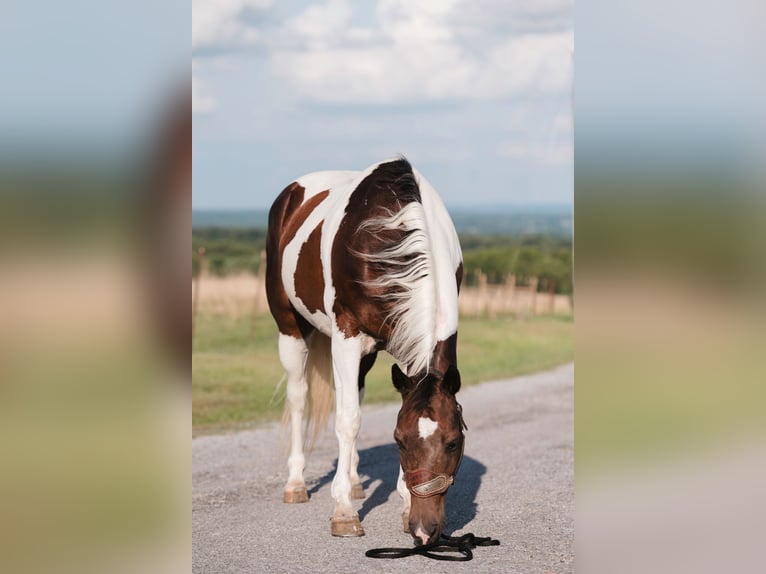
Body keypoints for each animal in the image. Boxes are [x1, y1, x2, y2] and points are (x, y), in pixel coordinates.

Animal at [268, 160, 464, 548]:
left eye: (452, 443)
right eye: (399, 442)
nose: (425, 529)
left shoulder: (403, 346)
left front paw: (404, 507)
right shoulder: (346, 335)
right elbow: (348, 420)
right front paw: (343, 513)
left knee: (352, 392)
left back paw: (356, 481)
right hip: (291, 329)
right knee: (299, 398)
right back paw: (296, 484)